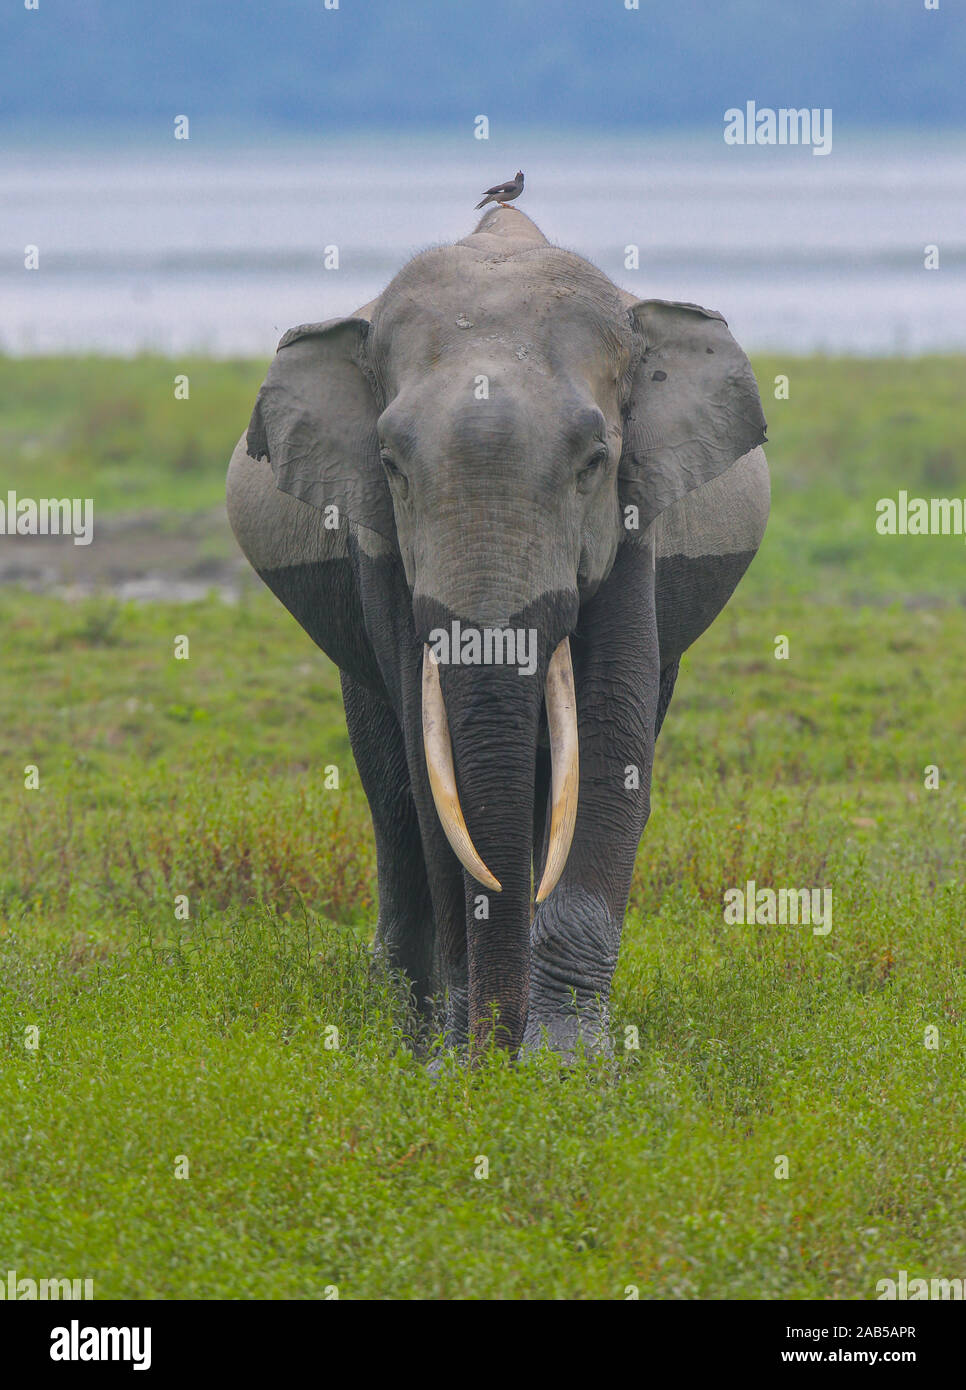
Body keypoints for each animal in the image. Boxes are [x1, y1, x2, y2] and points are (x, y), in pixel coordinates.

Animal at [227, 202, 772, 1050]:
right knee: (389, 789)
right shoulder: (376, 540)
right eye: (391, 465)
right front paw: (459, 1058)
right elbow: (430, 762)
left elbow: (613, 730)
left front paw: (564, 1061)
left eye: (593, 461)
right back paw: (404, 1019)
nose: (496, 1048)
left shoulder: (636, 510)